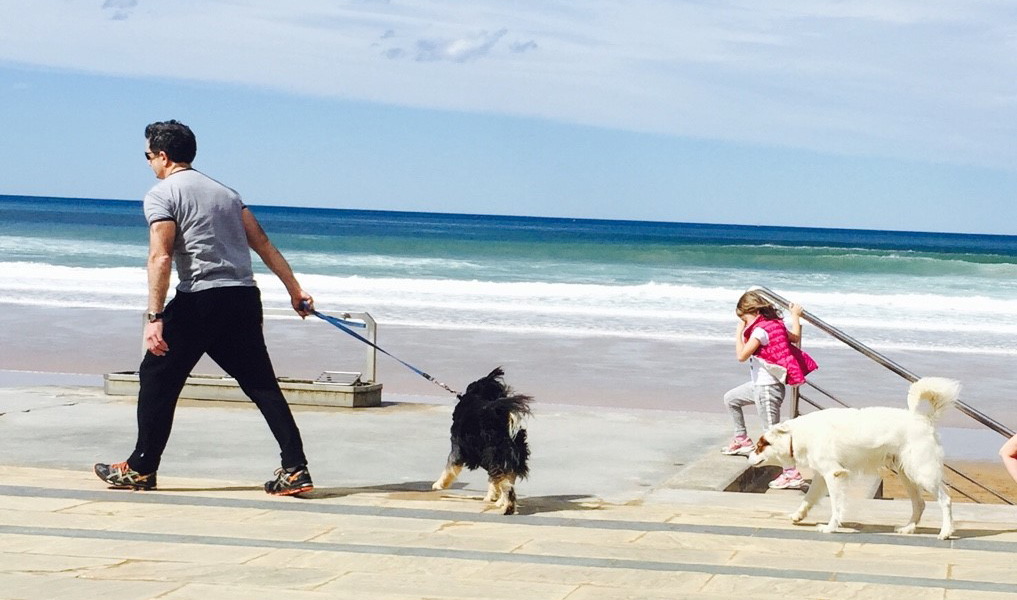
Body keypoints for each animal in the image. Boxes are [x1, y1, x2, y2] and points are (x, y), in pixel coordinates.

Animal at [431, 370, 532, 514]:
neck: (476, 396)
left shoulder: (458, 448)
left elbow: (449, 467)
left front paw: (439, 484)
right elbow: (493, 482)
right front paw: (492, 496)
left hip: (496, 457)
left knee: (506, 486)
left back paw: (508, 507)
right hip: (506, 459)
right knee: (506, 480)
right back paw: (501, 502)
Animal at [752, 376, 955, 541]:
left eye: (760, 445)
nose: (749, 456)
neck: (798, 435)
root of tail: (926, 419)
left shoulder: (834, 475)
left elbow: (836, 505)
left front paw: (830, 527)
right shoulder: (821, 476)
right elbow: (808, 498)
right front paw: (798, 515)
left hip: (922, 472)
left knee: (945, 500)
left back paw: (945, 532)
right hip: (907, 475)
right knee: (919, 504)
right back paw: (908, 528)